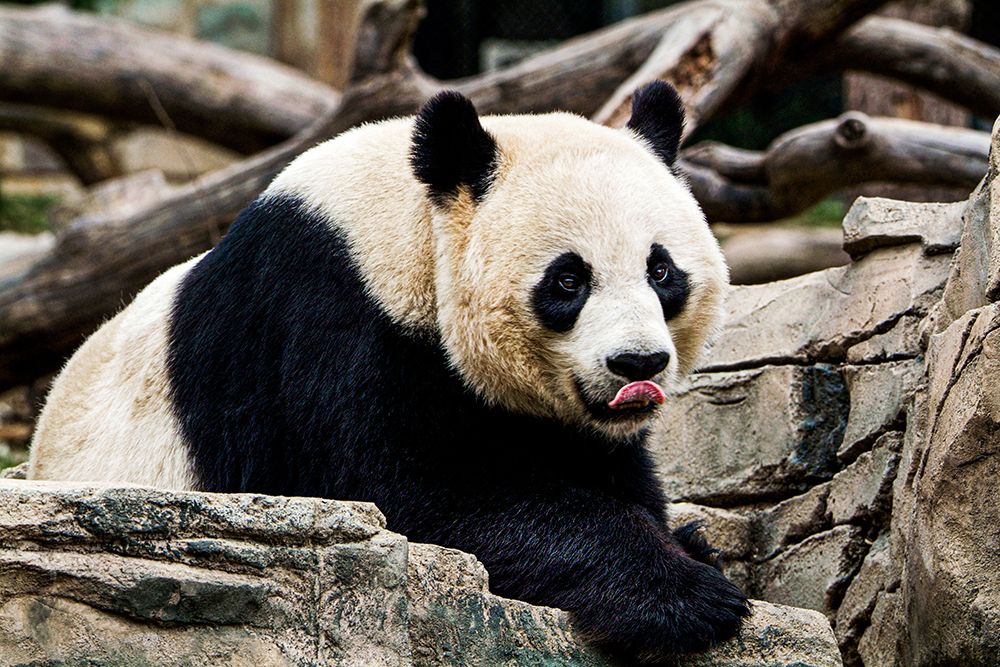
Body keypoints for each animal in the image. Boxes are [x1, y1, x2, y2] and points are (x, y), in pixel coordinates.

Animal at [29, 81, 747, 661]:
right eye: (568, 279)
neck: (411, 229)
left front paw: (689, 542)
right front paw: (687, 595)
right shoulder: (327, 320)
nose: (638, 364)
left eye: (662, 270)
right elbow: (407, 495)